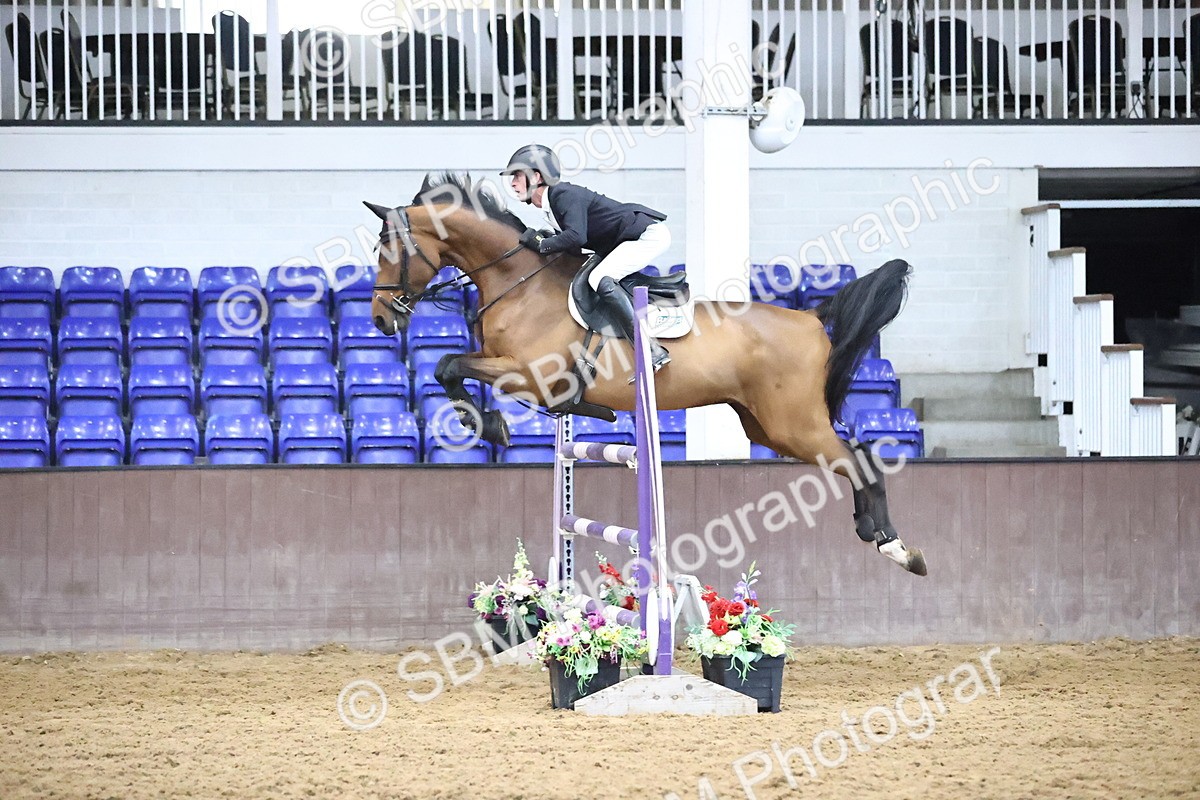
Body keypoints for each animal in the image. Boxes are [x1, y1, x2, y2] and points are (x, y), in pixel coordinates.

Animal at [365, 174, 926, 576]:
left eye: (391, 251)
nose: (380, 319)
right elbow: (451, 367)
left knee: (861, 459)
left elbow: (449, 365)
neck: (518, 282)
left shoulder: (532, 374)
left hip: (794, 424)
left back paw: (899, 548)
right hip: (767, 427)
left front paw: (492, 426)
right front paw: (487, 423)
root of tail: (811, 318)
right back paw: (874, 533)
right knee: (852, 459)